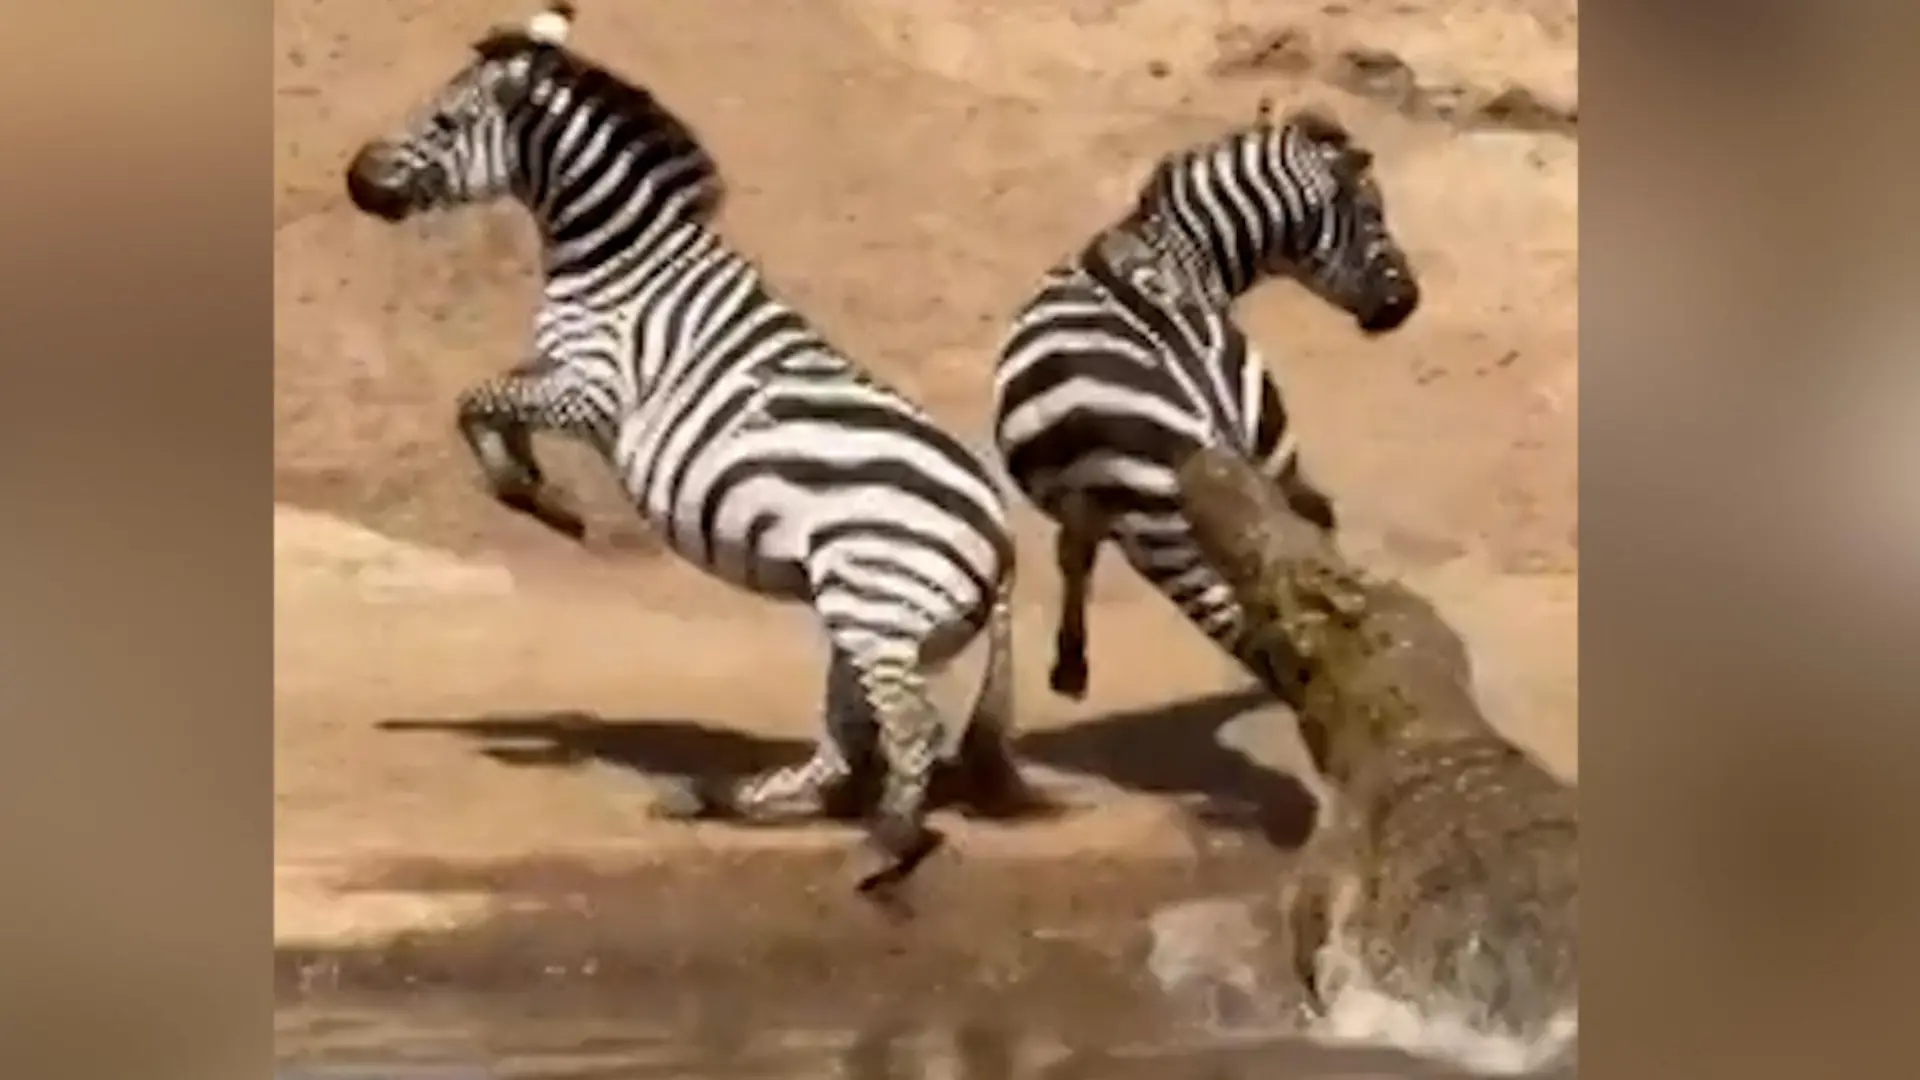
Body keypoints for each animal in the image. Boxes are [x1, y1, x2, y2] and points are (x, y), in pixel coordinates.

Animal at [342, 2, 1034, 894]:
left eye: (445, 122)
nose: (356, 179)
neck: (620, 258)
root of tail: (1001, 535)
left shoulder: (594, 392)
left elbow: (475, 399)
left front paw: (539, 499)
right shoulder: (559, 369)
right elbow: (491, 399)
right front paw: (534, 487)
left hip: (873, 603)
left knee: (906, 732)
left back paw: (881, 847)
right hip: (874, 623)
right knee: (846, 747)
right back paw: (720, 797)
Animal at [990, 102, 1421, 757]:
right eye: (1373, 213)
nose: (1407, 304)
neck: (1170, 248)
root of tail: (1206, 404)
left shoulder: (1085, 498)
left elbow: (1073, 555)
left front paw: (1068, 669)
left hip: (1167, 535)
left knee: (1251, 638)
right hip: (1270, 451)